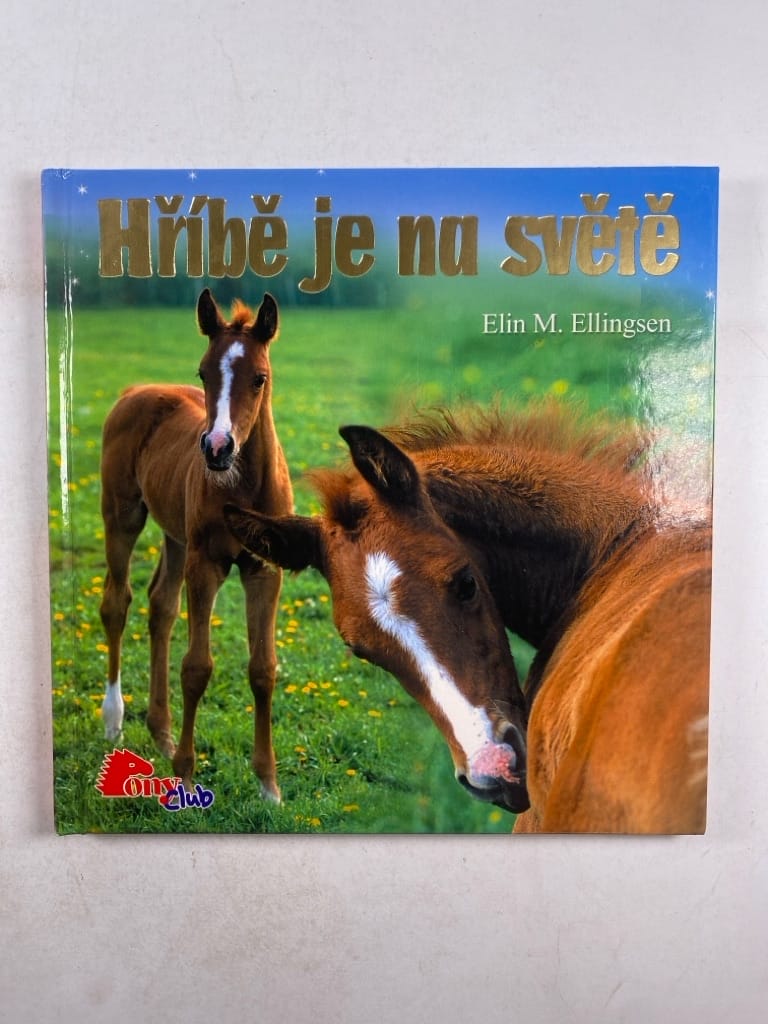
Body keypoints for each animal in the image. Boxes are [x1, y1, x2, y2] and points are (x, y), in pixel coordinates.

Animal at [98, 289, 293, 801]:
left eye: (260, 378)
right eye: (203, 372)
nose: (217, 447)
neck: (243, 487)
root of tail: (134, 391)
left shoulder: (265, 570)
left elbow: (263, 669)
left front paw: (269, 784)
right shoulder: (206, 566)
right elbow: (197, 667)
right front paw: (185, 773)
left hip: (175, 537)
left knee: (160, 606)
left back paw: (161, 731)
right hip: (122, 516)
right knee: (117, 603)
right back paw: (115, 720)